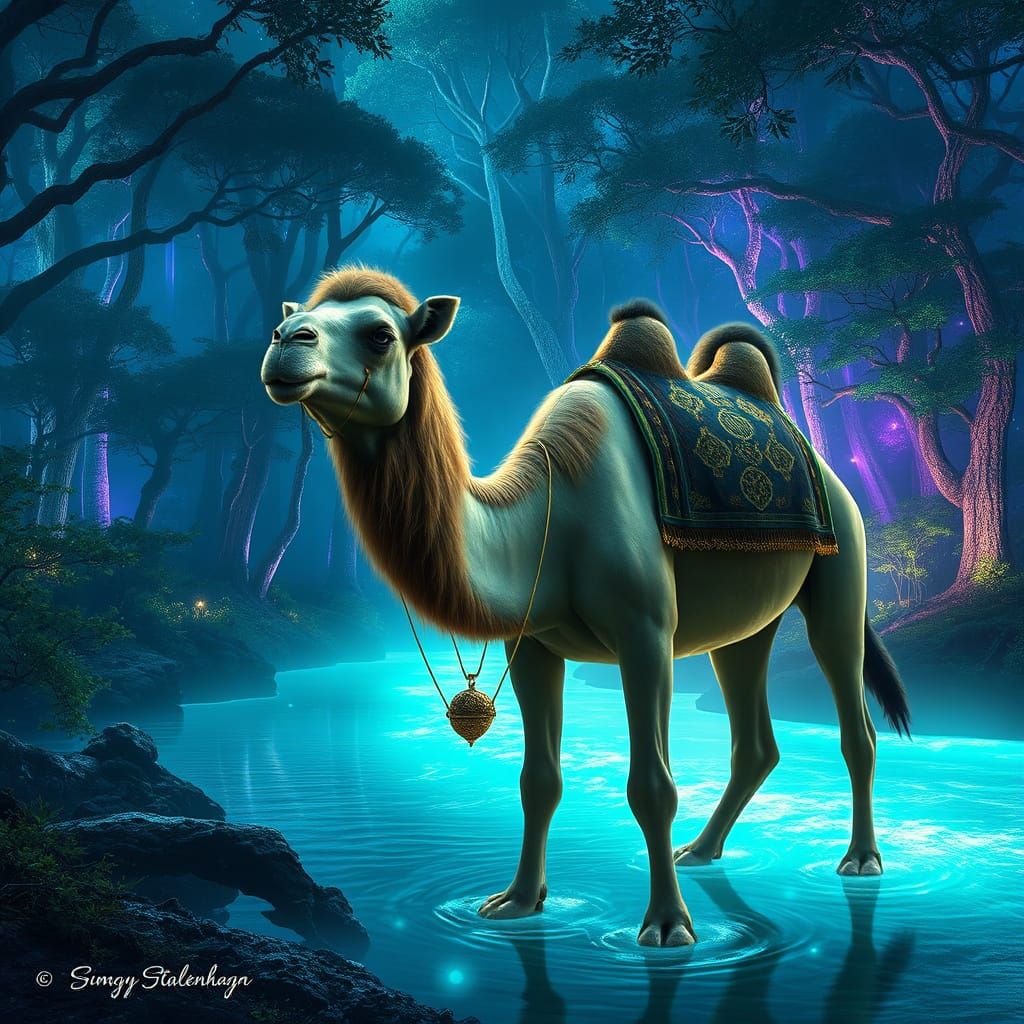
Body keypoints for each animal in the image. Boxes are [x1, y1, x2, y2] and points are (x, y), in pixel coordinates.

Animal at [260, 266, 910, 947]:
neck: (547, 518)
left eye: (380, 334)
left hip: (844, 561)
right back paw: (702, 850)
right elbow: (538, 780)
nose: (284, 343)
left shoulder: (645, 634)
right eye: (293, 315)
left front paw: (668, 925)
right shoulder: (531, 645)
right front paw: (519, 900)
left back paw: (861, 858)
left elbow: (652, 786)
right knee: (754, 735)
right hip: (745, 622)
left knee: (855, 721)